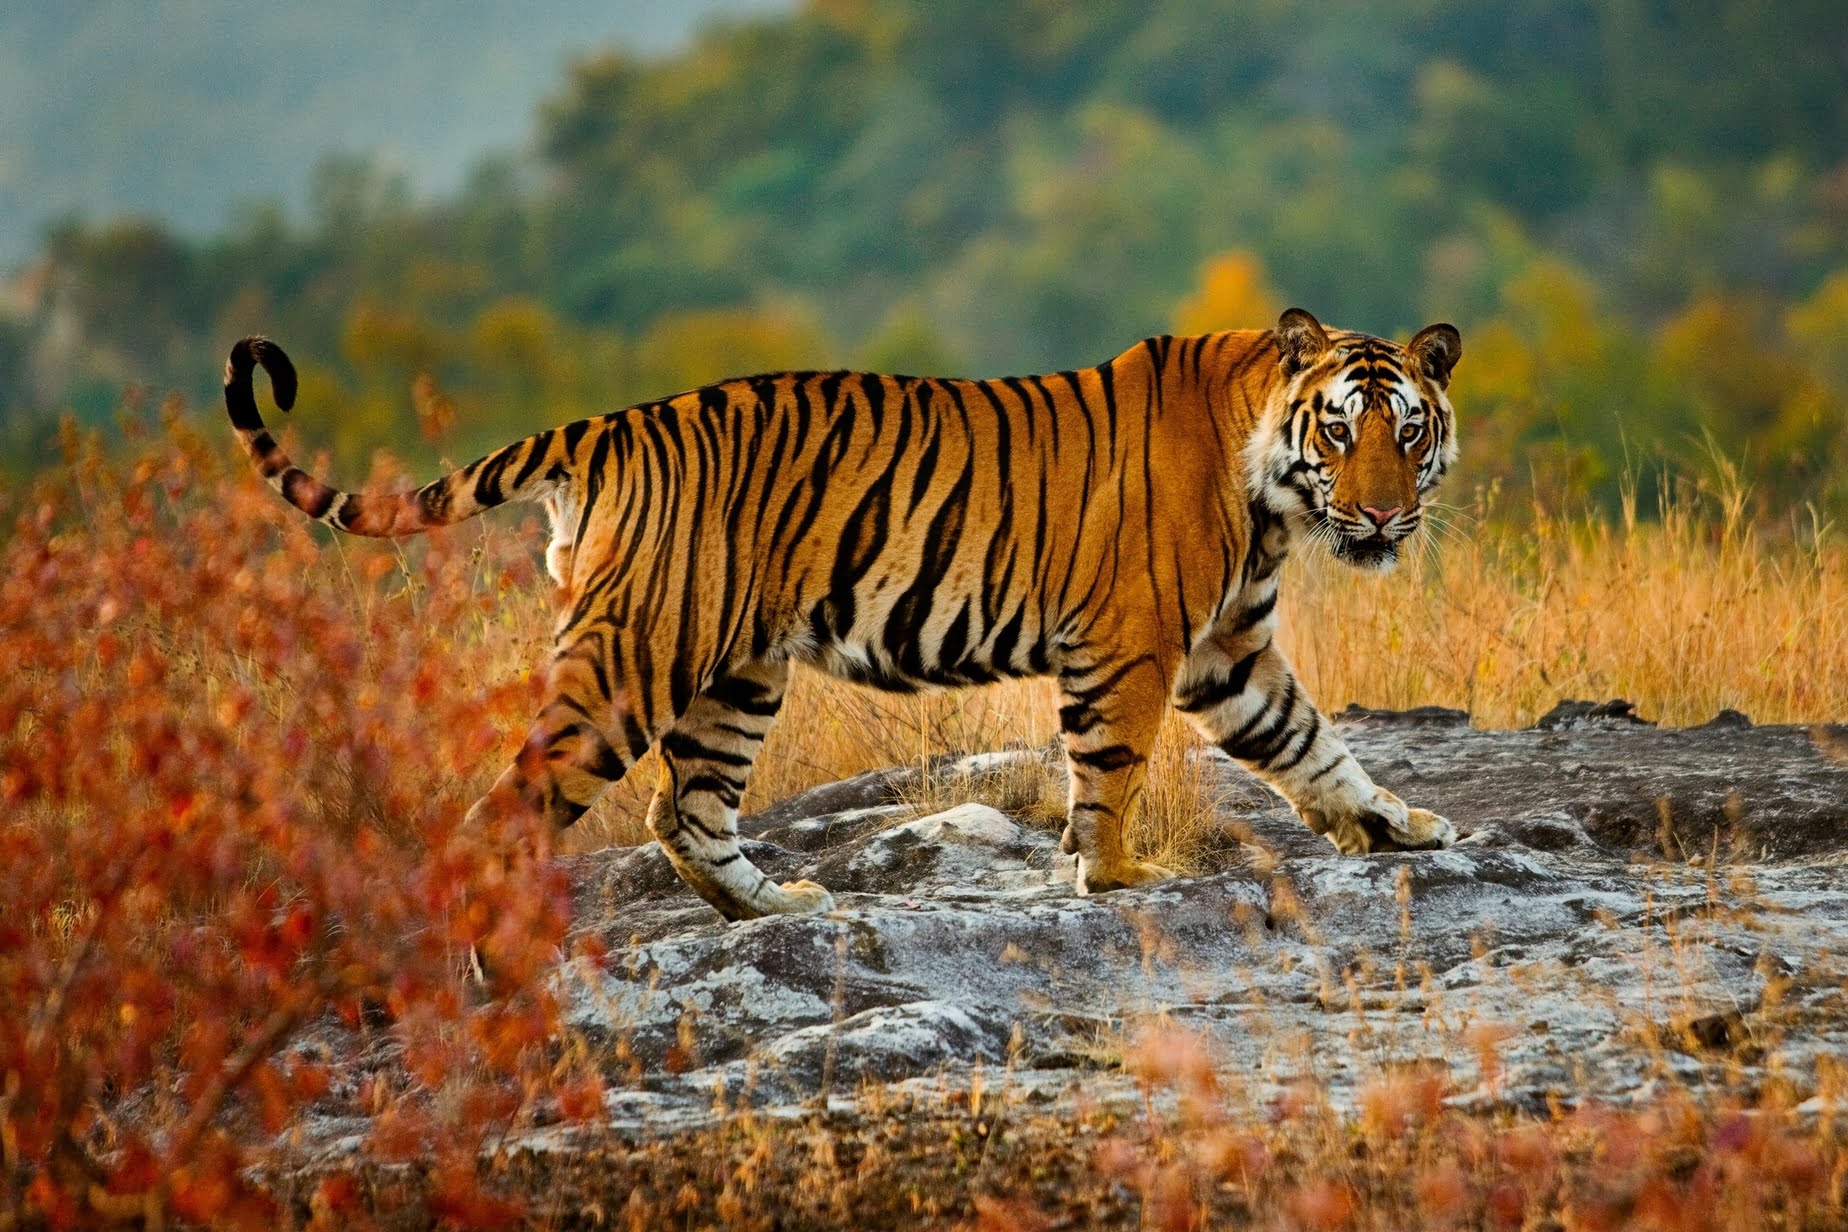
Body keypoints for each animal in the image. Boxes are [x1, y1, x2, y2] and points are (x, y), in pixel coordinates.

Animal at [219, 314, 1456, 919]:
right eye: (1342, 429)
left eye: (1409, 430)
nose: (1384, 514)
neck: (1274, 495)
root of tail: (608, 425)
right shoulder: (1134, 644)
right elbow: (1109, 772)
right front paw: (1114, 879)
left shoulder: (1227, 650)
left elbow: (1312, 742)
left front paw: (1399, 824)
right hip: (632, 661)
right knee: (507, 812)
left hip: (735, 670)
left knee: (684, 809)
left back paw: (776, 904)